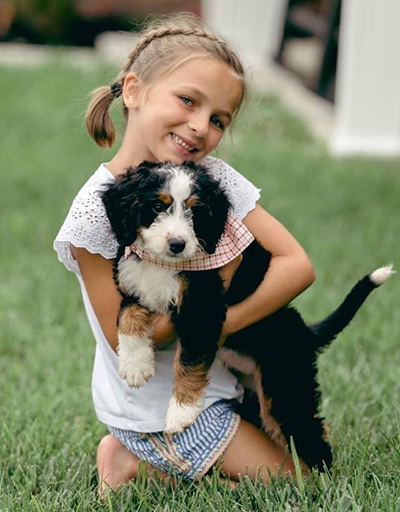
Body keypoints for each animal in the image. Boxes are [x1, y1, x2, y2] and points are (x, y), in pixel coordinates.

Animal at [101, 160, 392, 472]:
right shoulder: (133, 285)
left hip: (284, 388)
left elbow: (188, 359)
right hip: (257, 397)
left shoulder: (203, 304)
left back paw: (321, 480)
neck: (163, 263)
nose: (177, 244)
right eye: (157, 206)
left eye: (195, 210)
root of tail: (304, 331)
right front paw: (135, 366)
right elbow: (127, 316)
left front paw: (181, 412)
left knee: (311, 436)